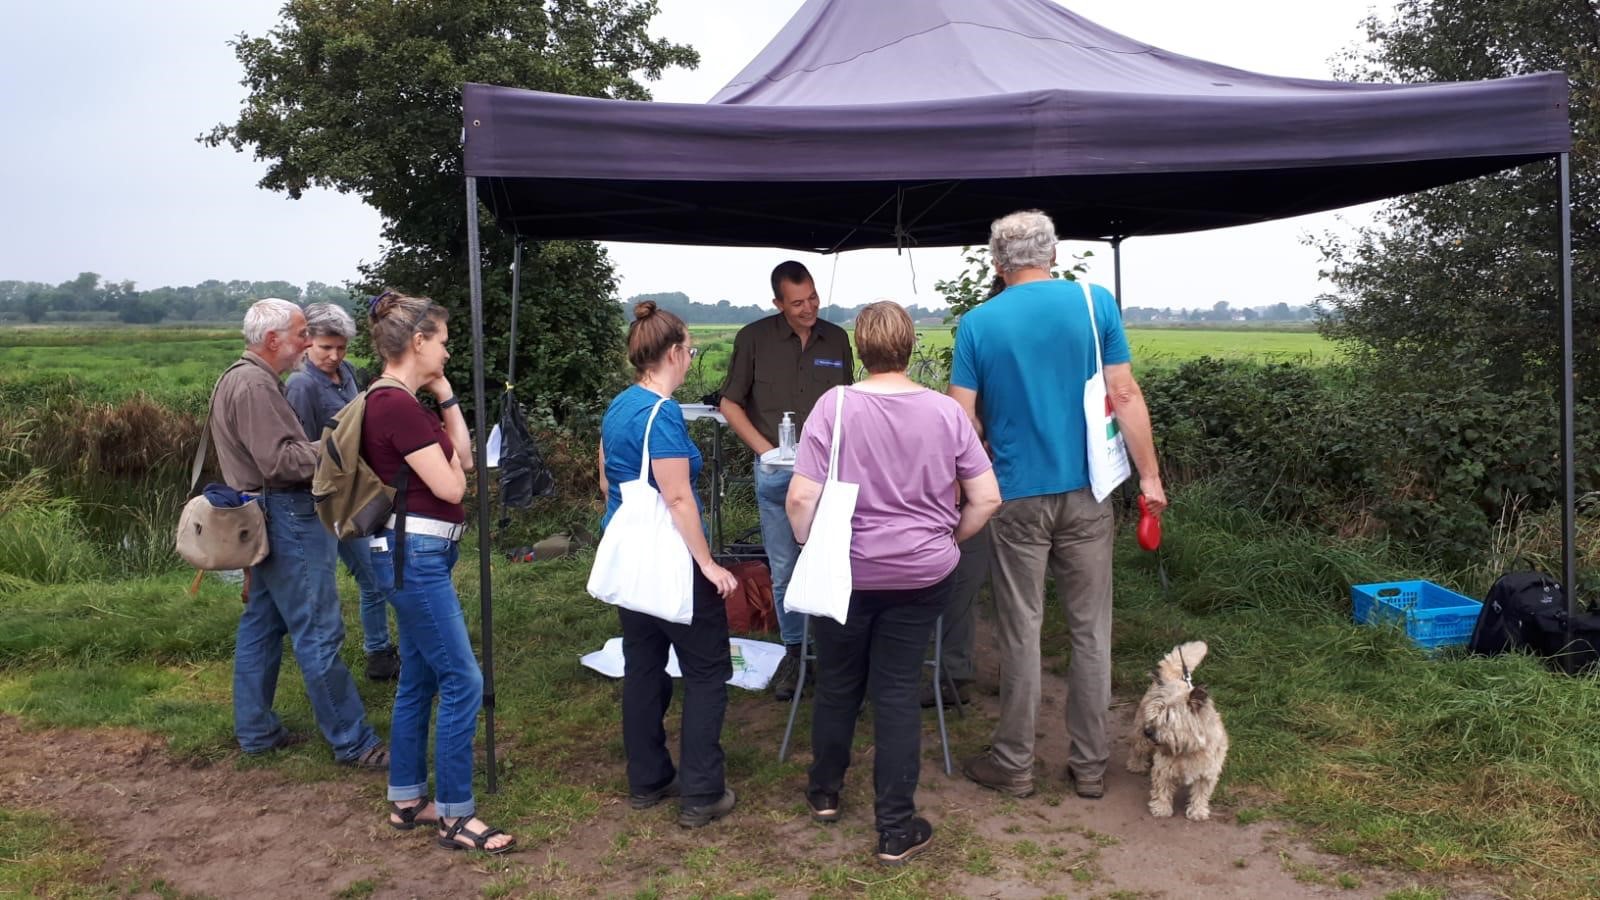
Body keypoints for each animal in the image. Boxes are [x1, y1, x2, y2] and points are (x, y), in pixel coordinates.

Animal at [1120, 634, 1228, 816]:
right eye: (1153, 715)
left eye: (1168, 719)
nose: (1148, 732)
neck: (1189, 750)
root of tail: (1171, 678)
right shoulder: (1163, 767)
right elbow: (1162, 788)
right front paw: (1161, 808)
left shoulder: (1208, 773)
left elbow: (1201, 792)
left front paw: (1198, 811)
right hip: (1140, 734)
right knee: (1137, 748)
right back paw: (1136, 765)